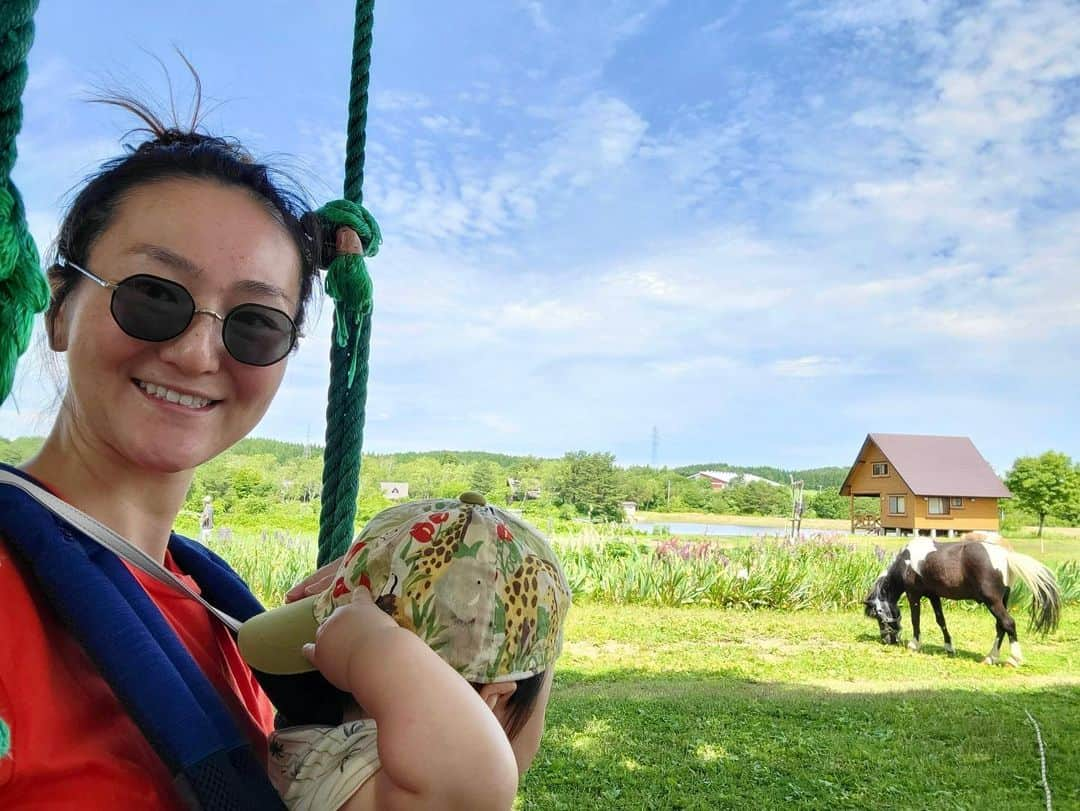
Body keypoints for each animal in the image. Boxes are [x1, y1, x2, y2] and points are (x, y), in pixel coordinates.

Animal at [859, 533, 1062, 665]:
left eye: (878, 617)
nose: (887, 640)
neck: (907, 562)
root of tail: (1005, 555)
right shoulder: (933, 596)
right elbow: (941, 620)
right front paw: (949, 647)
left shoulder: (914, 595)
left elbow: (916, 619)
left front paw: (914, 644)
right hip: (1002, 601)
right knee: (1000, 627)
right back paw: (990, 658)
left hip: (993, 602)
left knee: (1008, 623)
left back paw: (1013, 659)